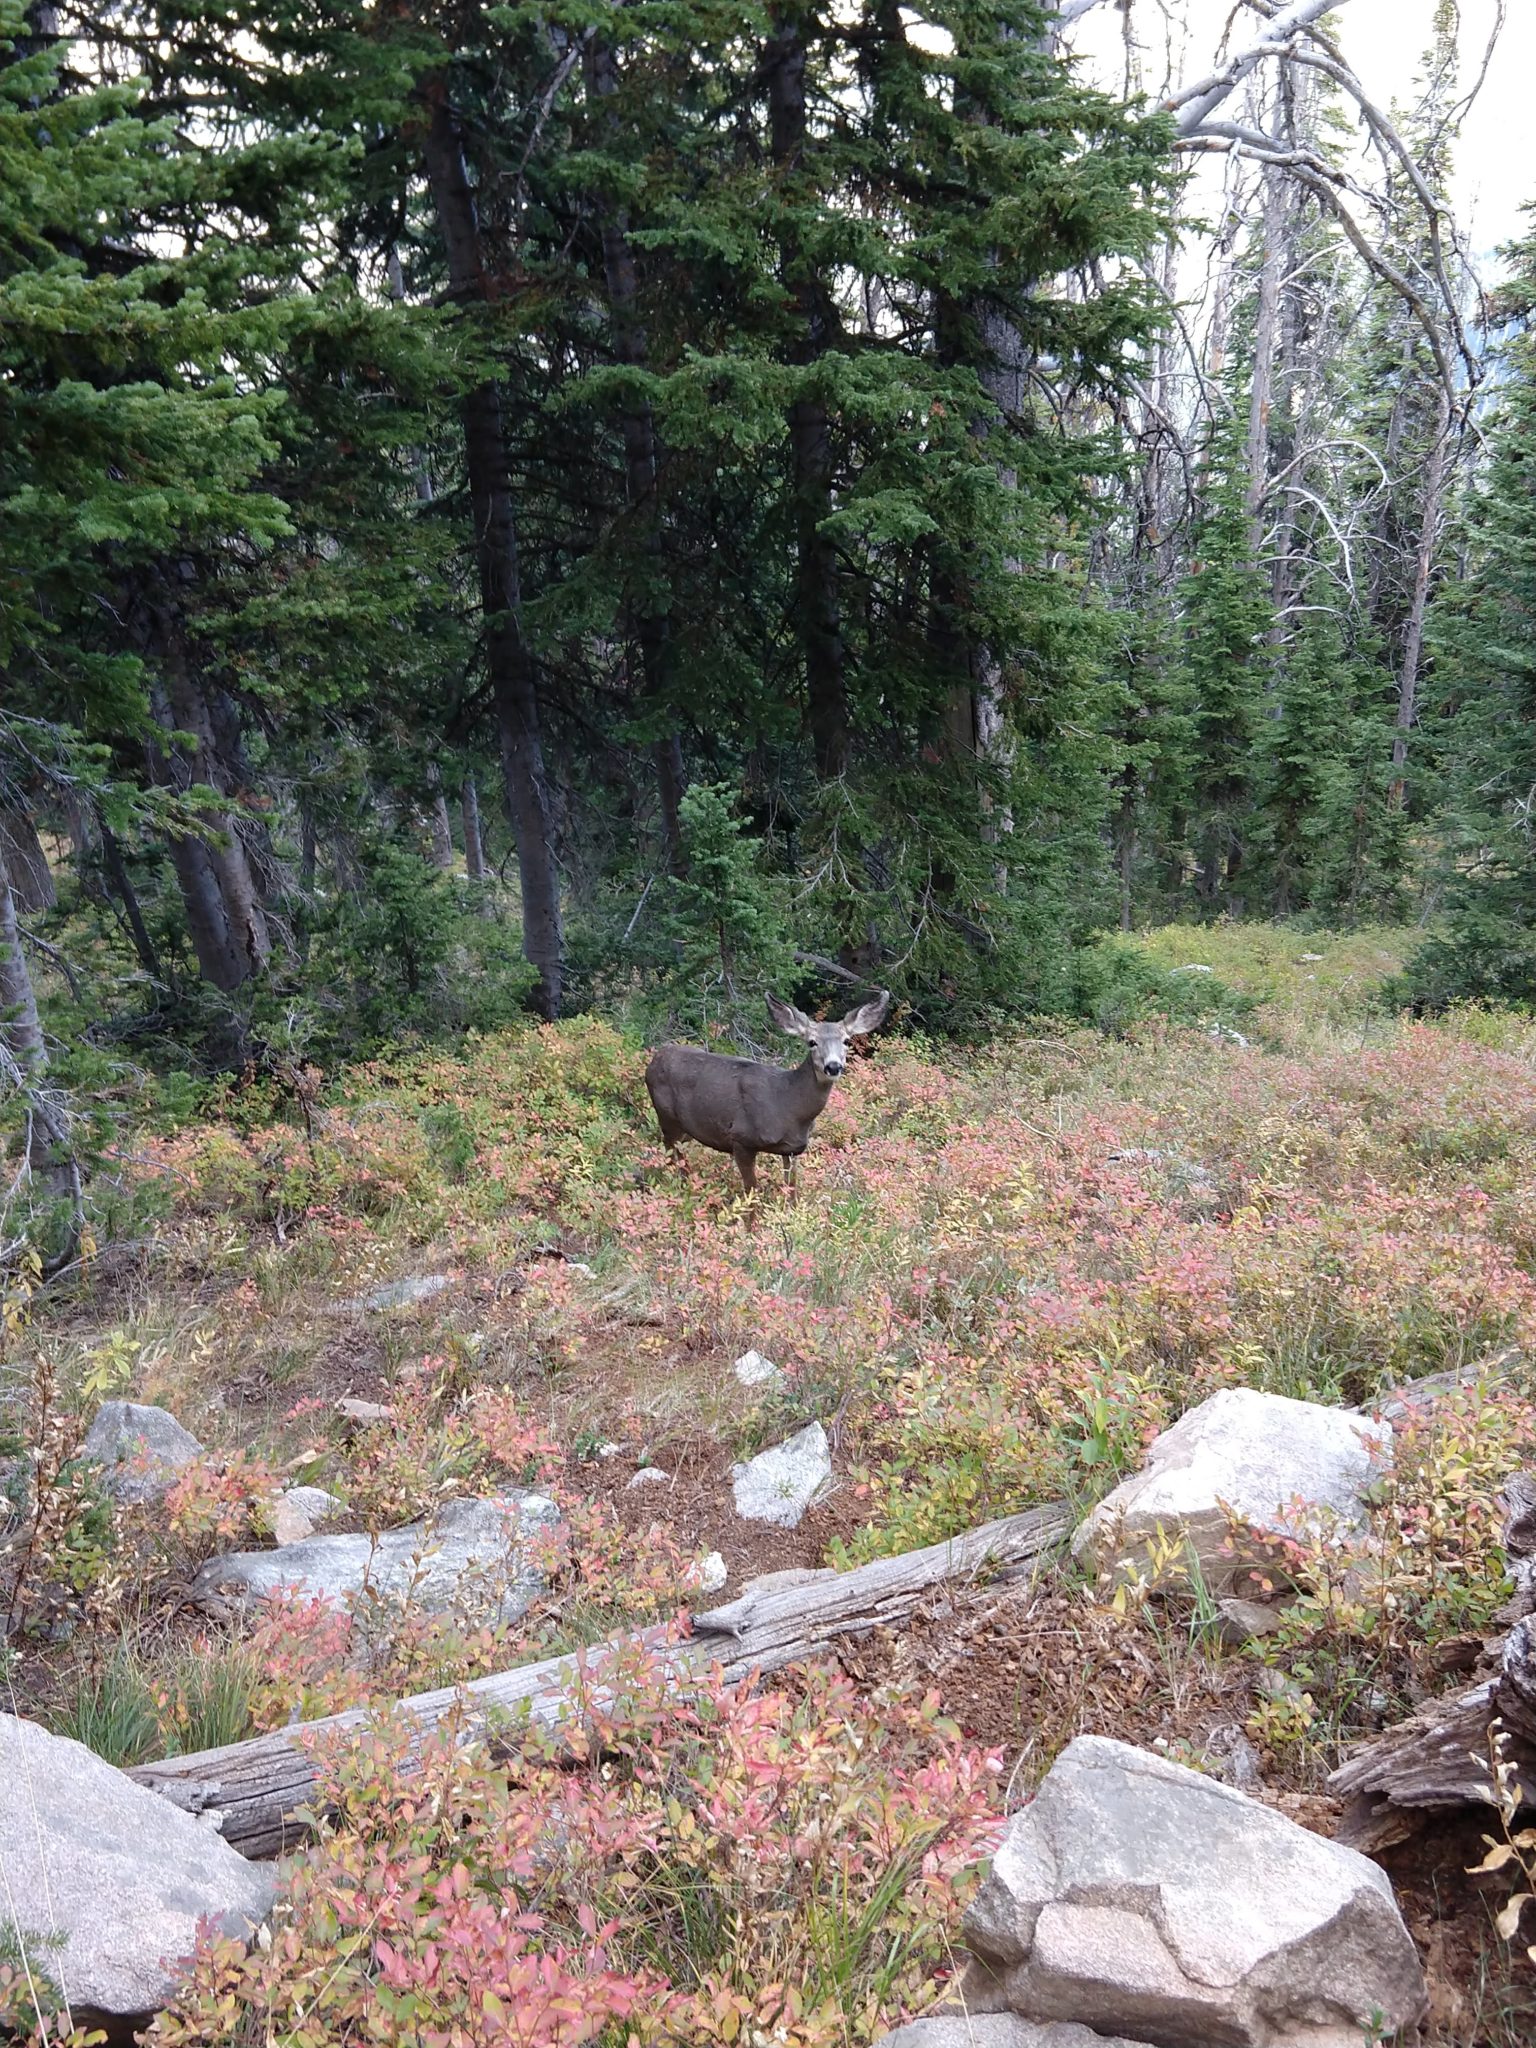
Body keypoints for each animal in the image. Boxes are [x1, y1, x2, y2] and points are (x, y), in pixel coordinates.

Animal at [647, 983, 888, 1196]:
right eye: (812, 1042)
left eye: (846, 1040)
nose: (833, 1066)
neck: (789, 1106)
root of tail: (653, 1061)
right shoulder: (741, 1138)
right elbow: (751, 1193)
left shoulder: (792, 1149)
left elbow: (792, 1191)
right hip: (667, 1118)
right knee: (670, 1154)